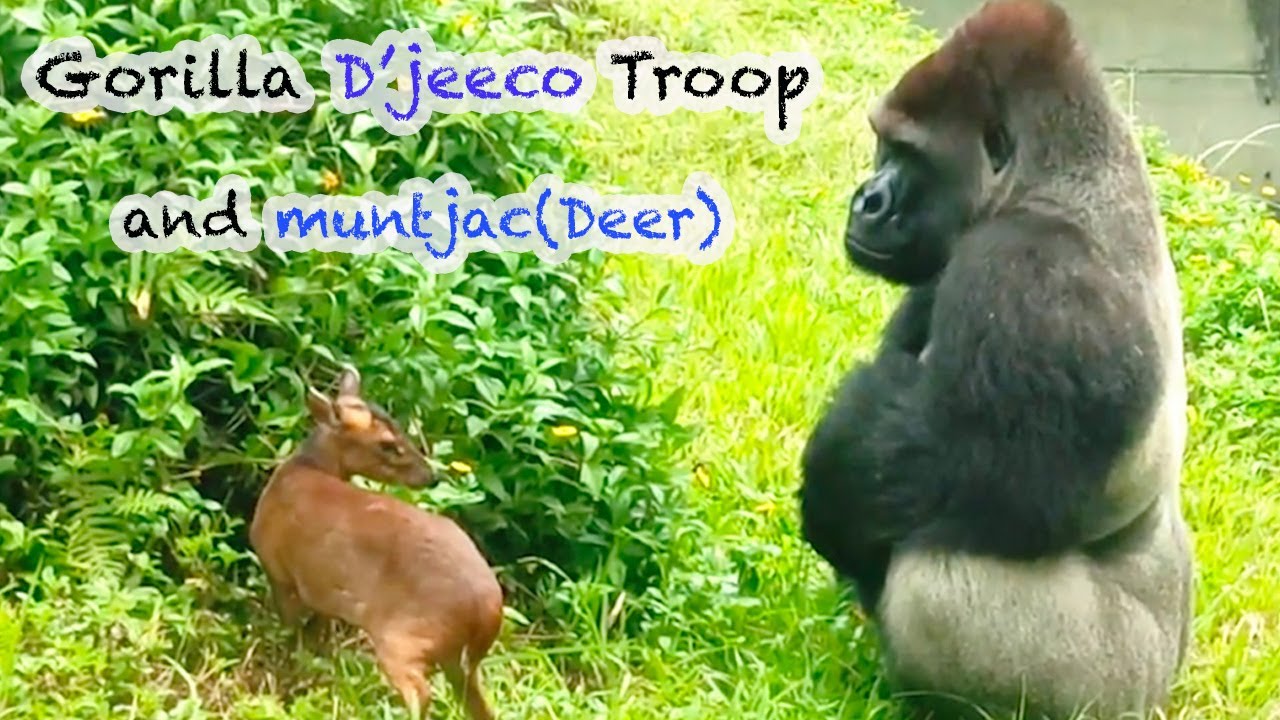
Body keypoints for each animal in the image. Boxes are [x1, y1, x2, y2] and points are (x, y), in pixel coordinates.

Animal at [796, 1, 1195, 718]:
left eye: (910, 154)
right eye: (884, 143)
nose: (867, 199)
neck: (1056, 176)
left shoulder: (1031, 271)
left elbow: (965, 469)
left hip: (1111, 685)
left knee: (939, 585)